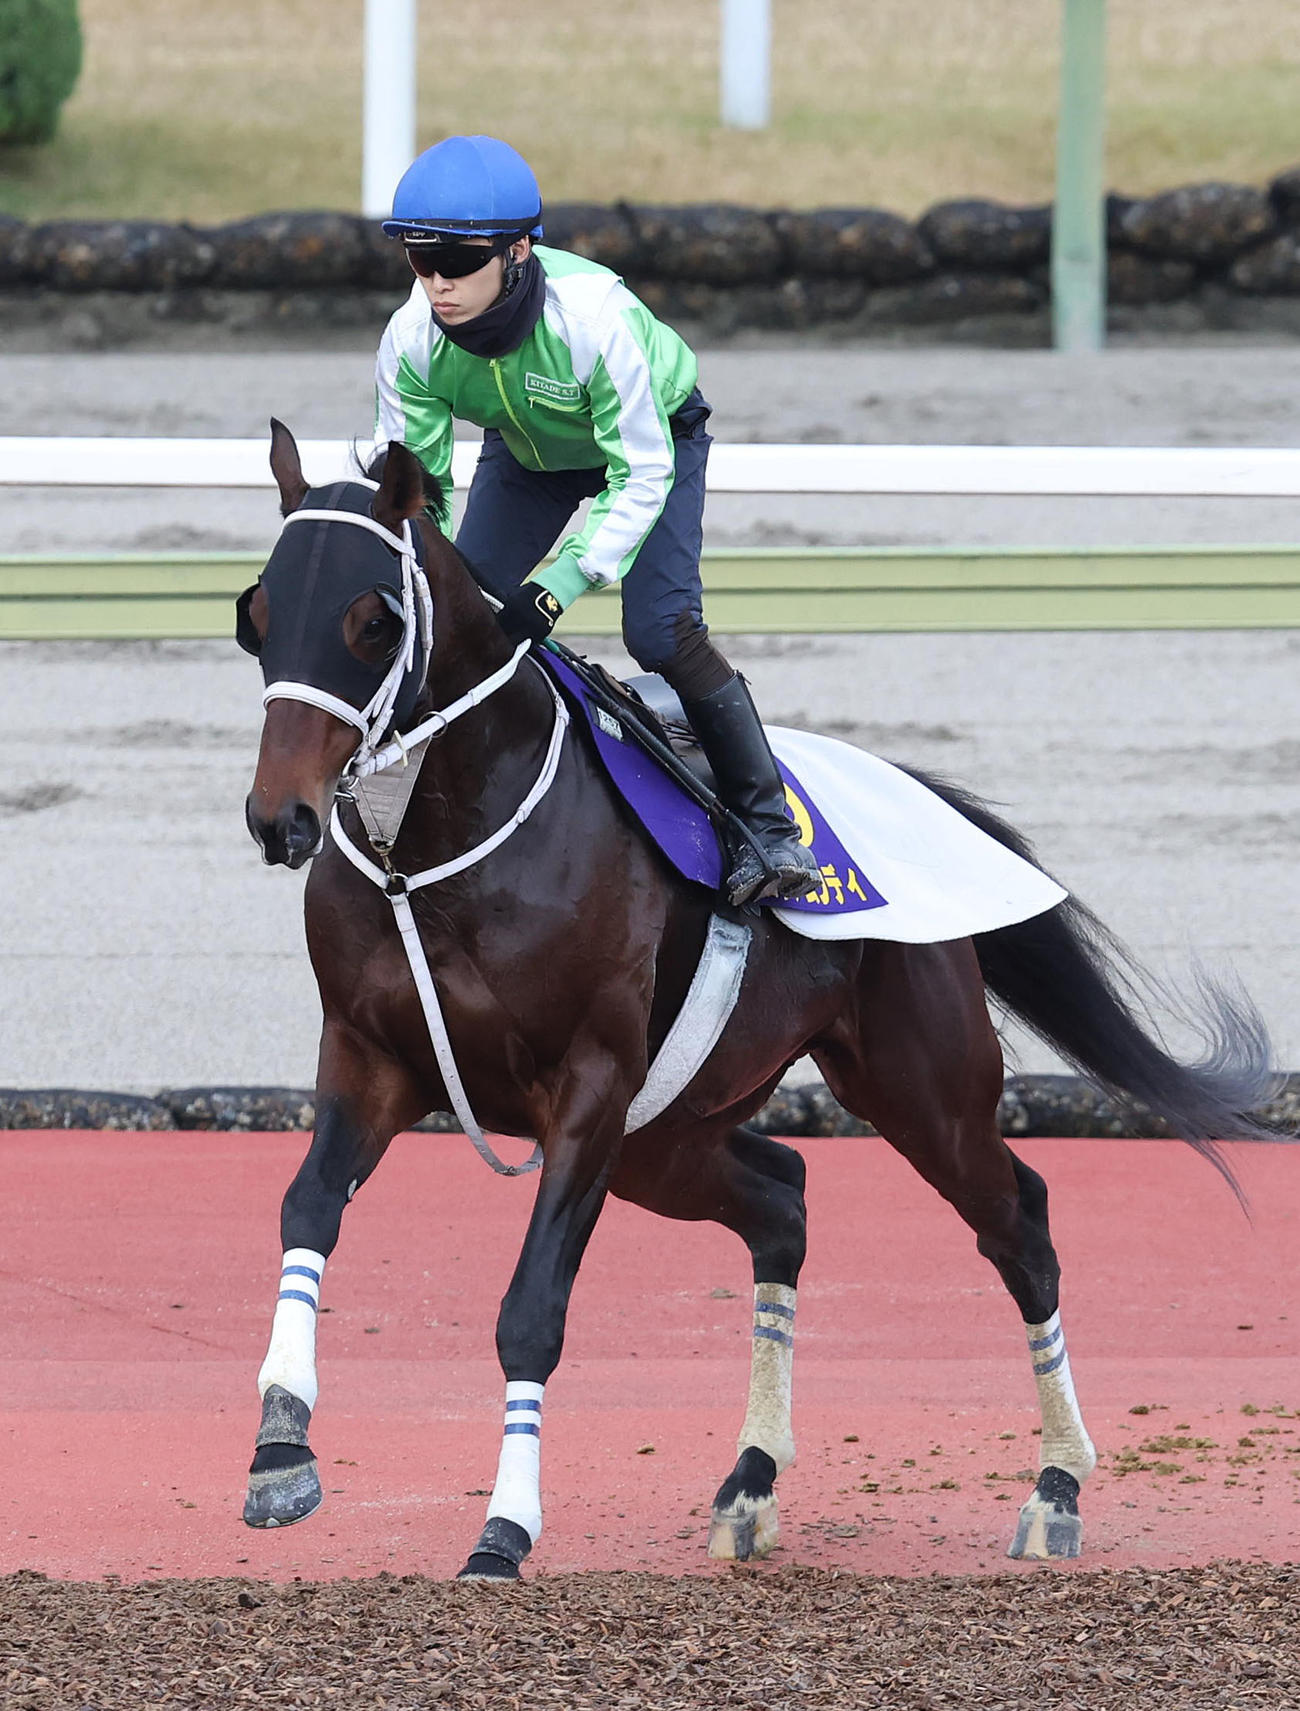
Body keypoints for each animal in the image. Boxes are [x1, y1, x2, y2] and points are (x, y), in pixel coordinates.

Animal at [237, 422, 1278, 1580]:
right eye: (256, 614)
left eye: (373, 620)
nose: (280, 818)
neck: (439, 843)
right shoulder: (370, 1053)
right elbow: (306, 1209)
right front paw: (281, 1449)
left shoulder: (589, 1090)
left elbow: (530, 1310)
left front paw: (503, 1528)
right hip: (666, 1139)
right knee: (784, 1198)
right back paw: (751, 1478)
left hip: (918, 1088)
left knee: (1021, 1224)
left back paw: (1056, 1486)